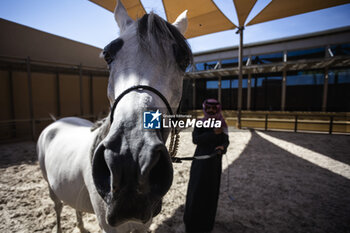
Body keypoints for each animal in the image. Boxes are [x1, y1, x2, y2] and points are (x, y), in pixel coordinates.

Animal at [37, 0, 193, 231]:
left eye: (183, 61)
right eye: (107, 55)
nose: (130, 161)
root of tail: (57, 122)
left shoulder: (143, 225)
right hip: (51, 189)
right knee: (58, 208)